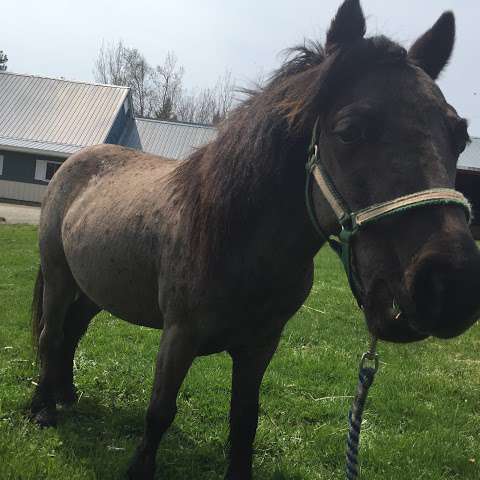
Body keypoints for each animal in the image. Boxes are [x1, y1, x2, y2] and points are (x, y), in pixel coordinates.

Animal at [29, 1, 480, 478]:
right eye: (349, 130)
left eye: (458, 136)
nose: (452, 286)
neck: (239, 244)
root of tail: (75, 163)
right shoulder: (179, 336)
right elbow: (159, 412)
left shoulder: (261, 345)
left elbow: (245, 419)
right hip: (59, 278)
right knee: (52, 335)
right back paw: (43, 408)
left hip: (96, 288)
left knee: (72, 332)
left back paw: (65, 395)